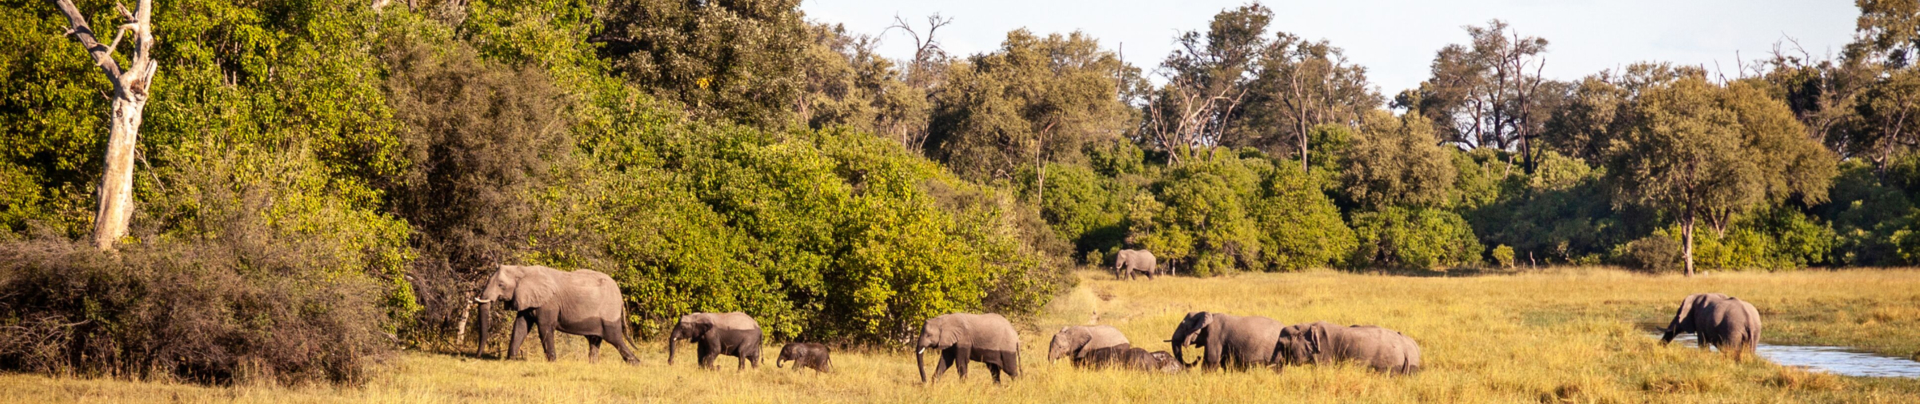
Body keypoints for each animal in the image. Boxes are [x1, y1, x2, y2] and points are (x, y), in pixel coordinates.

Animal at [473, 265, 639, 364]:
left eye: (501, 285)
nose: (477, 357)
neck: (523, 270)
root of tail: (620, 296)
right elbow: (520, 326)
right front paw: (511, 360)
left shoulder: (548, 302)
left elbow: (544, 327)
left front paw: (552, 362)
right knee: (594, 339)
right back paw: (593, 365)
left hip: (609, 311)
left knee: (614, 338)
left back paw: (636, 363)